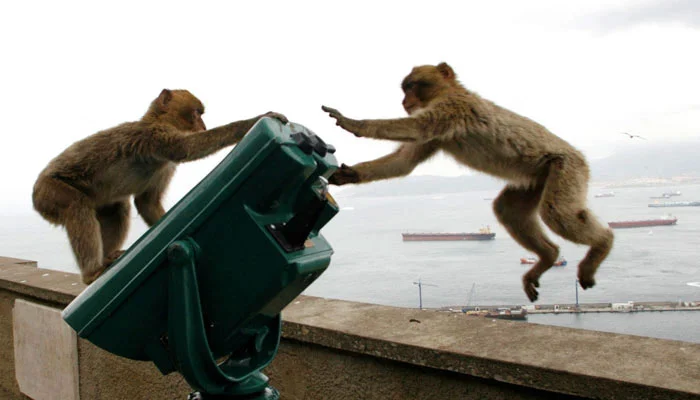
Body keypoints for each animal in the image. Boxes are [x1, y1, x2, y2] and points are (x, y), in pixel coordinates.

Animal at [33, 89, 287, 285]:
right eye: (196, 113)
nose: (203, 126)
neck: (157, 121)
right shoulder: (154, 137)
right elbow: (187, 148)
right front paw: (251, 122)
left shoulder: (165, 165)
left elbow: (147, 202)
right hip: (49, 192)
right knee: (76, 206)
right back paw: (92, 272)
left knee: (118, 208)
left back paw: (107, 258)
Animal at [322, 62, 614, 302]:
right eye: (405, 88)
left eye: (413, 85)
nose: (405, 100)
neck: (446, 93)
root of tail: (580, 157)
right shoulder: (441, 129)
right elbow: (405, 162)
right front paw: (349, 174)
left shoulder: (453, 107)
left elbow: (419, 128)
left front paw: (353, 123)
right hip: (536, 178)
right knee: (507, 209)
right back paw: (549, 256)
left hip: (566, 167)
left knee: (556, 212)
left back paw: (603, 243)